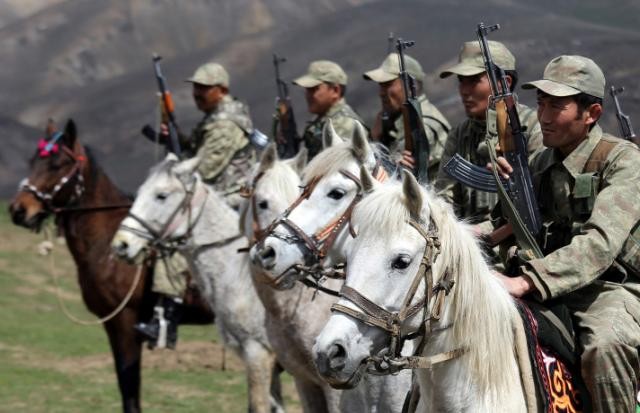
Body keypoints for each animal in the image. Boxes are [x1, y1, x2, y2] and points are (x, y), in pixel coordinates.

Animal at [9, 120, 215, 412]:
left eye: (57, 165)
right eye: (33, 161)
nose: (18, 210)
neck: (105, 242)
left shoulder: (125, 321)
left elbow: (129, 385)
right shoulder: (111, 324)